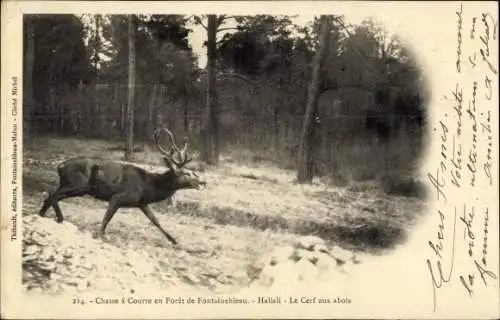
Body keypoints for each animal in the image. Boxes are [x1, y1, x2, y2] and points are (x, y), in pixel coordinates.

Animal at [36, 126, 205, 244]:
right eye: (186, 173)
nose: (202, 182)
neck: (147, 187)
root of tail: (60, 166)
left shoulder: (141, 203)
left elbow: (155, 220)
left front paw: (174, 240)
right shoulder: (119, 197)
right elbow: (107, 217)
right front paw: (102, 235)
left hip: (70, 185)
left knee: (50, 196)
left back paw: (42, 215)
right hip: (77, 185)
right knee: (52, 195)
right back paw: (59, 218)